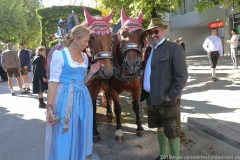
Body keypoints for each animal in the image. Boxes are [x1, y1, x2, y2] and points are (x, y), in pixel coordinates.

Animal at [104, 8, 144, 142]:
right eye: (122, 35)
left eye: (141, 35)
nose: (132, 64)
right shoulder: (113, 89)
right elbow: (118, 109)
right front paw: (119, 130)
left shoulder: (137, 88)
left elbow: (136, 107)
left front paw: (139, 127)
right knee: (106, 95)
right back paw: (109, 110)